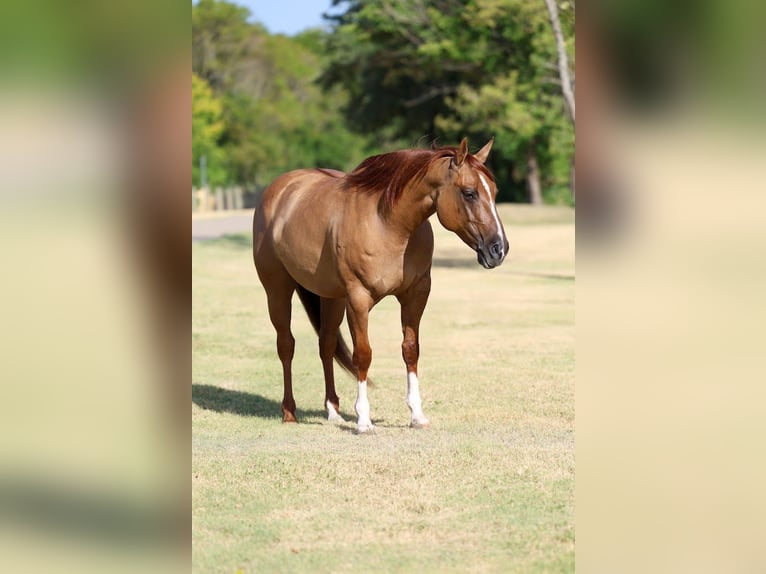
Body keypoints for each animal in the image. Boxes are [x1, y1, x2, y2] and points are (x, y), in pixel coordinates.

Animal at [253, 138, 508, 432]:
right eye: (469, 193)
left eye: (494, 191)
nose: (499, 249)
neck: (389, 224)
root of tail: (279, 190)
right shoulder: (358, 300)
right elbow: (363, 355)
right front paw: (364, 420)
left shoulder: (416, 294)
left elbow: (411, 350)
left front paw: (417, 415)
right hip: (277, 289)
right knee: (286, 345)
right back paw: (289, 412)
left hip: (331, 297)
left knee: (326, 345)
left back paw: (333, 411)